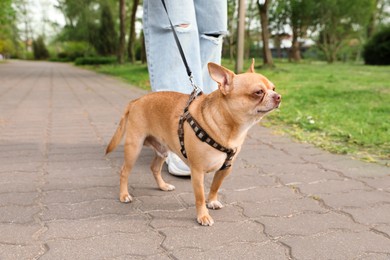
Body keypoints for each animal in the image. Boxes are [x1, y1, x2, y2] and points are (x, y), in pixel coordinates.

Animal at [105, 60, 282, 226]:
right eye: (258, 92)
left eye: (273, 88)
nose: (278, 96)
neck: (231, 129)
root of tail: (136, 100)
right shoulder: (197, 172)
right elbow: (200, 196)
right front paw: (203, 216)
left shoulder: (225, 169)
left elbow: (215, 187)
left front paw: (212, 201)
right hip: (134, 148)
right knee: (124, 172)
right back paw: (124, 195)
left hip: (162, 150)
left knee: (154, 167)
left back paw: (163, 186)